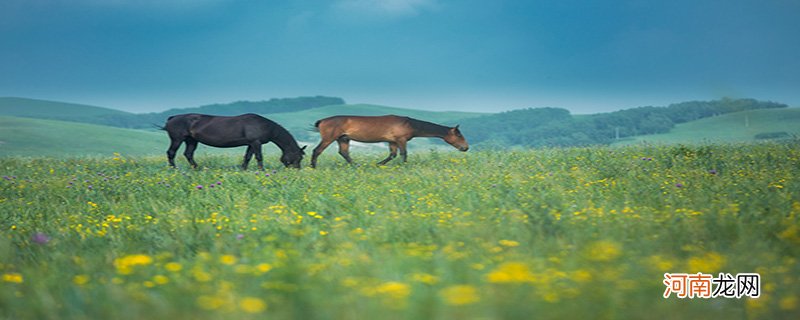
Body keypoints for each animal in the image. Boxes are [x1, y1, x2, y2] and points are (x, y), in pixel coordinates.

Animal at [162, 114, 306, 171]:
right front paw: (262, 170)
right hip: (177, 139)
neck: (265, 126)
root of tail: (172, 118)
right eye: (298, 157)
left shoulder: (251, 144)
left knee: (188, 154)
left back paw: (196, 168)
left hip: (191, 141)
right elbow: (259, 157)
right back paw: (174, 169)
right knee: (171, 153)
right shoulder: (256, 142)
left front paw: (243, 169)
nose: (297, 170)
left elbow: (247, 157)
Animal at [310, 116, 466, 169]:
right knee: (317, 150)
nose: (466, 148)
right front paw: (404, 167)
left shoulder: (392, 142)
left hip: (343, 139)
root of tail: (322, 121)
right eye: (459, 135)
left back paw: (357, 166)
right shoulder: (401, 140)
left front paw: (378, 164)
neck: (410, 124)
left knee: (344, 153)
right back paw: (313, 166)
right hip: (329, 138)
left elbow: (392, 155)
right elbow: (404, 154)